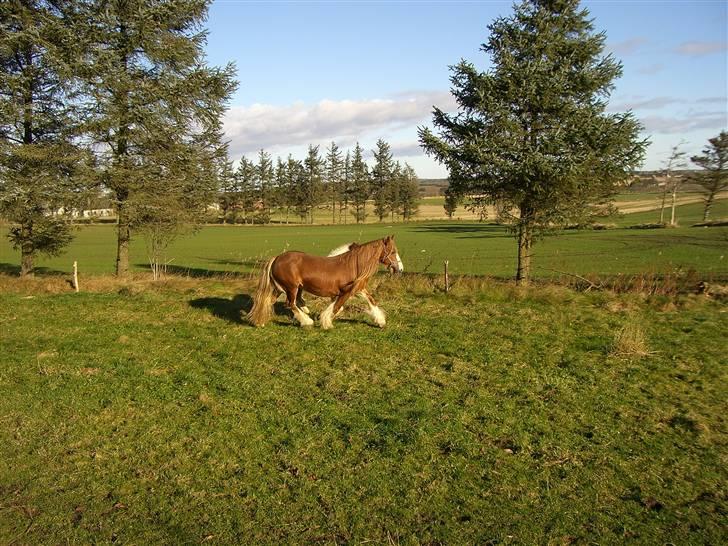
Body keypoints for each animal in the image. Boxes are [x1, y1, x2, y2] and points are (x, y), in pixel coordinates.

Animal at [246, 235, 404, 328]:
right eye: (393, 252)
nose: (400, 269)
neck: (352, 265)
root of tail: (277, 258)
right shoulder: (346, 292)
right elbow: (336, 307)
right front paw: (326, 322)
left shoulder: (358, 289)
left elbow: (371, 301)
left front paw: (381, 321)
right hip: (291, 288)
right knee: (290, 304)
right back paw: (307, 321)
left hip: (280, 288)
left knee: (269, 301)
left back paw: (260, 321)